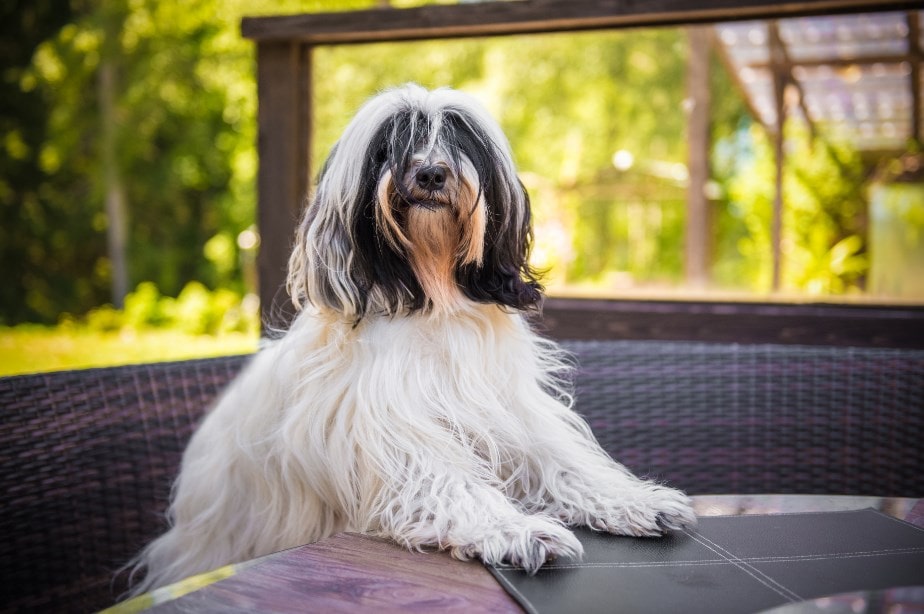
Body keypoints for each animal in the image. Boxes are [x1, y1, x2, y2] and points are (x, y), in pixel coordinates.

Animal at [128, 83, 692, 596]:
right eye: (391, 143)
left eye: (459, 137)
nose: (430, 173)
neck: (432, 296)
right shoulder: (392, 431)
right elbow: (451, 481)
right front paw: (515, 529)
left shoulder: (507, 412)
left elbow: (564, 462)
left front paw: (635, 500)